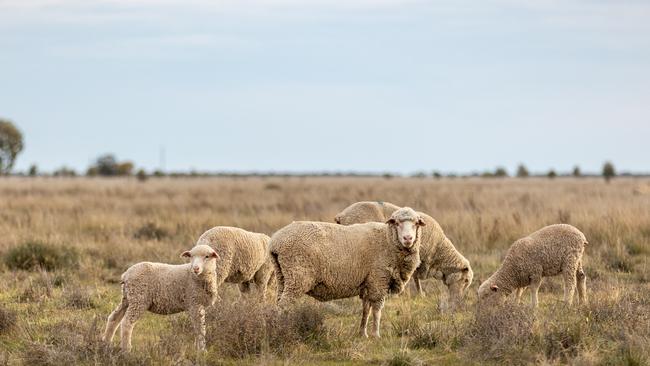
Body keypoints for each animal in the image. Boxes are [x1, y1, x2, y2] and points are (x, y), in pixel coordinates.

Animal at [270, 206, 426, 338]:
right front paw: (376, 335)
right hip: (297, 277)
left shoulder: (368, 282)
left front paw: (363, 333)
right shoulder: (378, 280)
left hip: (283, 276)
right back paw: (281, 330)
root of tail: (275, 242)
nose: (408, 238)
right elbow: (377, 310)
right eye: (397, 223)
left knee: (278, 303)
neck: (387, 239)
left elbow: (366, 310)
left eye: (416, 223)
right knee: (284, 306)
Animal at [334, 200, 470, 306]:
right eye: (466, 281)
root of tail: (341, 215)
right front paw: (418, 294)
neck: (439, 250)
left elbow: (413, 277)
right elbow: (414, 278)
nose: (458, 301)